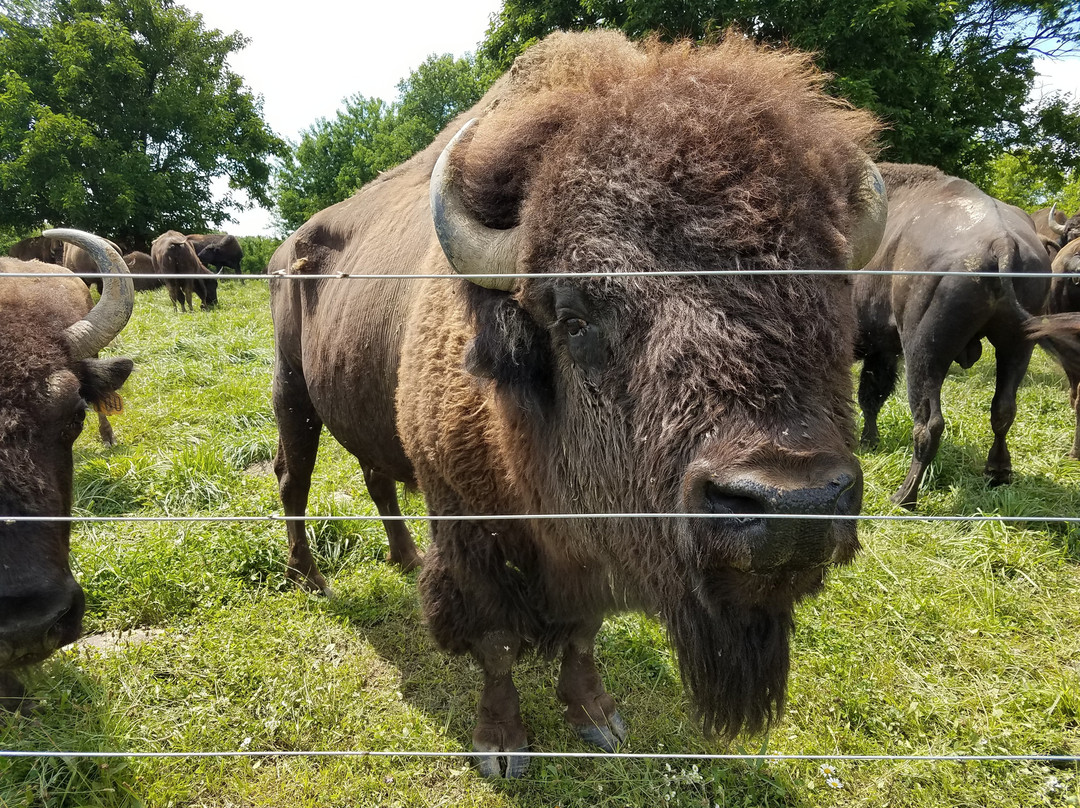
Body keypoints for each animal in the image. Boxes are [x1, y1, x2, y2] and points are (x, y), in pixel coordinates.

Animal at [268, 31, 889, 774]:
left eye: (838, 307)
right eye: (573, 317)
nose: (793, 504)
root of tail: (287, 245)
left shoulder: (596, 546)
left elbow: (583, 632)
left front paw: (596, 716)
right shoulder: (468, 529)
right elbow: (495, 640)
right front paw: (502, 743)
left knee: (374, 476)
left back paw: (404, 558)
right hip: (291, 395)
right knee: (293, 477)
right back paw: (310, 579)